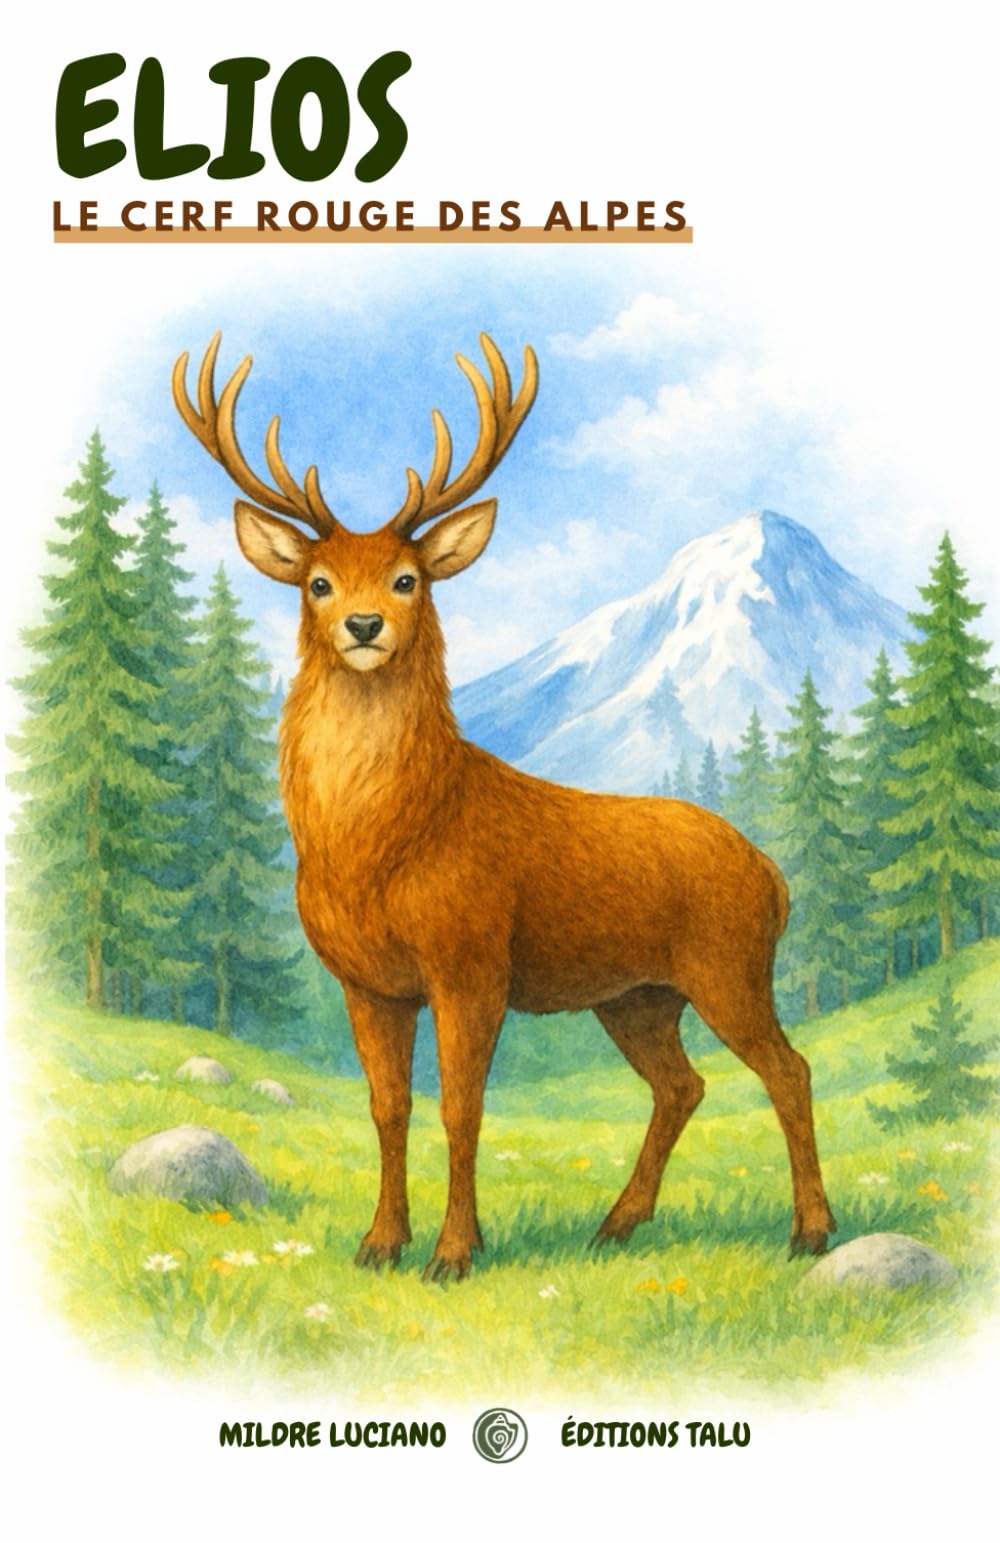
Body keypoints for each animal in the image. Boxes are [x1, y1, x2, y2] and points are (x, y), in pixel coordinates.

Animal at [172, 331, 836, 1282]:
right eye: (319, 582)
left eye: (408, 578)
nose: (365, 626)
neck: (378, 847)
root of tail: (776, 876)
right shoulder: (368, 981)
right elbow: (389, 1107)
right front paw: (381, 1241)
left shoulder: (471, 958)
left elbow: (463, 1108)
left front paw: (454, 1252)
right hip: (637, 995)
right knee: (683, 1083)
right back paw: (616, 1223)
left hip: (730, 964)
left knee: (789, 1069)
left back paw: (809, 1230)